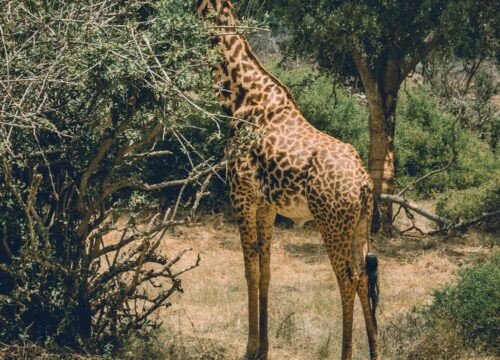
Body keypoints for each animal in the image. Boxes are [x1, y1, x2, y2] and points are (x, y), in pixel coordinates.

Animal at [195, 1, 378, 358]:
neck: (240, 94)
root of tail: (364, 184)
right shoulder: (266, 205)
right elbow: (266, 270)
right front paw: (263, 347)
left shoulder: (241, 193)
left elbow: (249, 269)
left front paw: (251, 347)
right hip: (359, 225)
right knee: (364, 277)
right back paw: (376, 351)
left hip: (332, 223)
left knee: (347, 279)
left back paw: (346, 353)